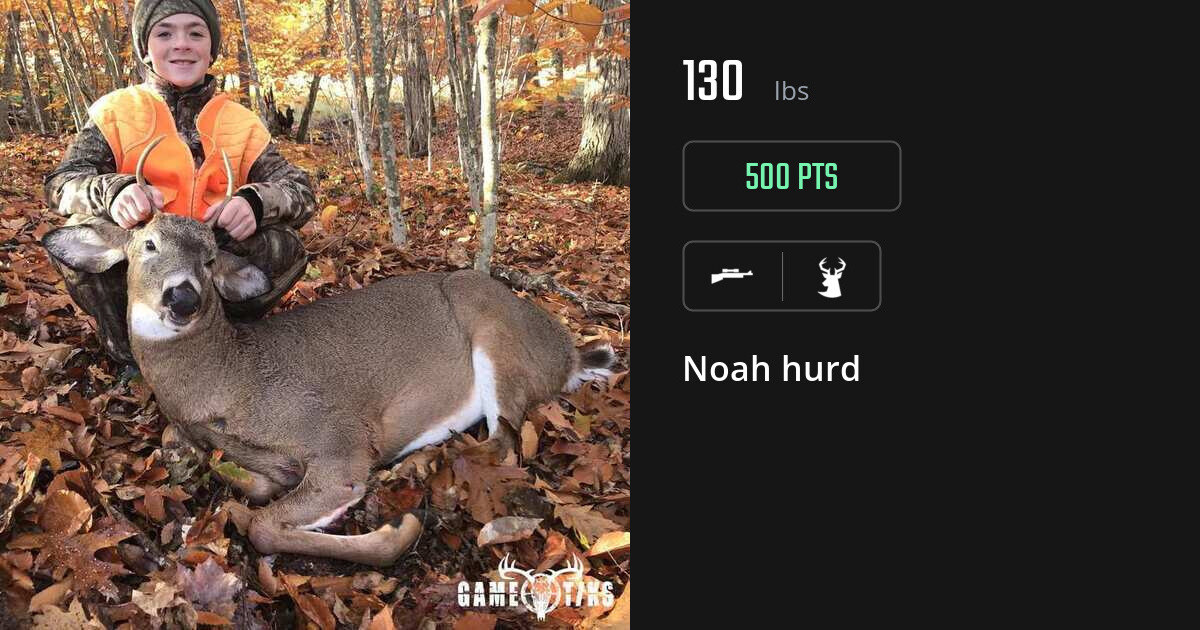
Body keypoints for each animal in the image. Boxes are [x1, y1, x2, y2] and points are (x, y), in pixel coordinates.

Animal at [41, 139, 618, 566]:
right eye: (148, 246)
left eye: (208, 259)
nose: (182, 298)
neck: (226, 381)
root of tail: (568, 354)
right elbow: (244, 484)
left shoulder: (337, 440)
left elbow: (264, 528)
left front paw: (399, 528)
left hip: (496, 330)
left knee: (505, 443)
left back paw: (419, 472)